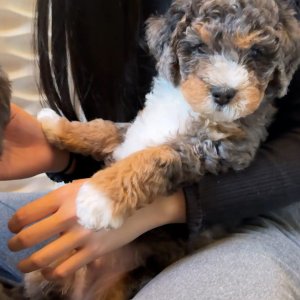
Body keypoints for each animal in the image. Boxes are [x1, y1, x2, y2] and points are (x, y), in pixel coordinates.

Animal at [25, 0, 300, 300]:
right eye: (199, 47)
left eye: (256, 52)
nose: (224, 93)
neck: (189, 107)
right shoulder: (137, 128)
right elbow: (106, 129)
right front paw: (56, 125)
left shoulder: (218, 152)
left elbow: (154, 156)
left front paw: (99, 198)